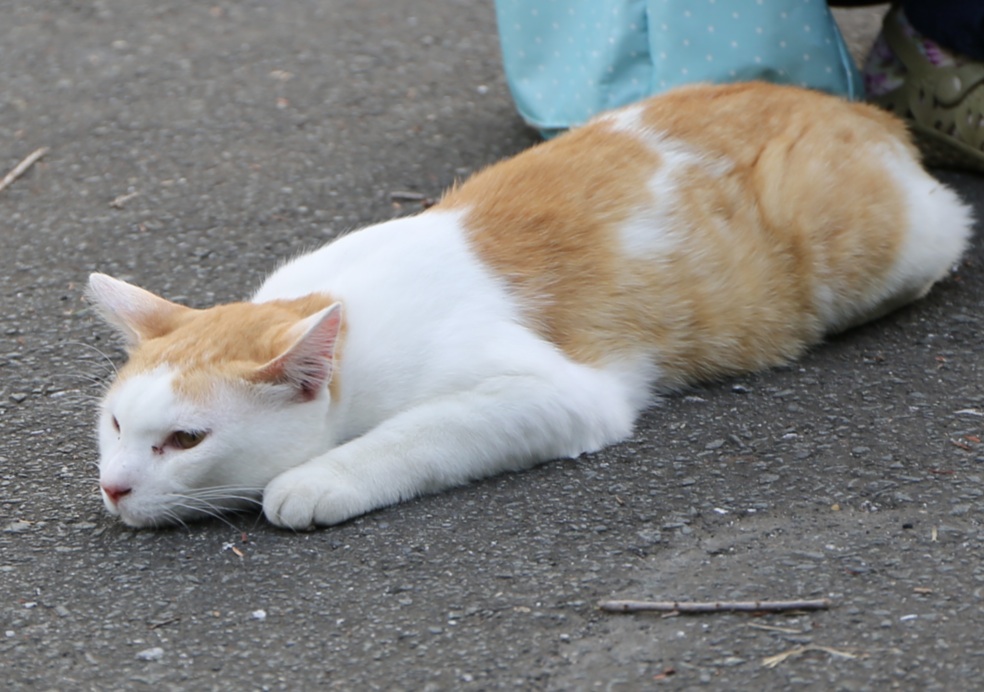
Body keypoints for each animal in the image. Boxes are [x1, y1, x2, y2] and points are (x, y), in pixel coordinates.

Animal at [88, 84, 972, 532]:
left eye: (186, 441)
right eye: (117, 425)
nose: (114, 488)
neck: (356, 327)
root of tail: (854, 106)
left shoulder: (554, 394)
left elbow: (414, 435)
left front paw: (317, 479)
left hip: (884, 245)